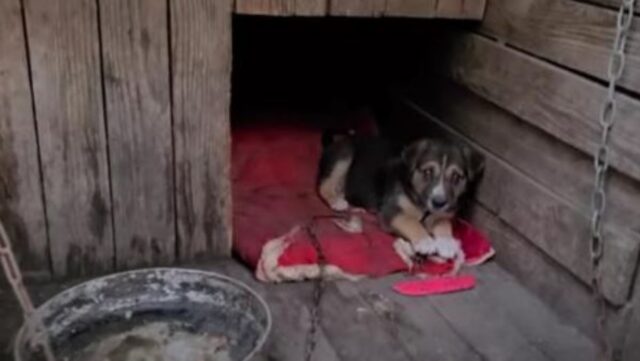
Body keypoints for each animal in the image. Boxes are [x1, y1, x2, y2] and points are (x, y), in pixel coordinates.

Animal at [316, 131, 484, 266]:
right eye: (427, 172)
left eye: (456, 177)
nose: (439, 202)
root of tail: (339, 139)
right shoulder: (391, 210)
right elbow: (411, 222)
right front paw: (425, 241)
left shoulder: (441, 213)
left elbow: (444, 224)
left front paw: (447, 243)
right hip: (344, 155)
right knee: (324, 185)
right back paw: (336, 201)